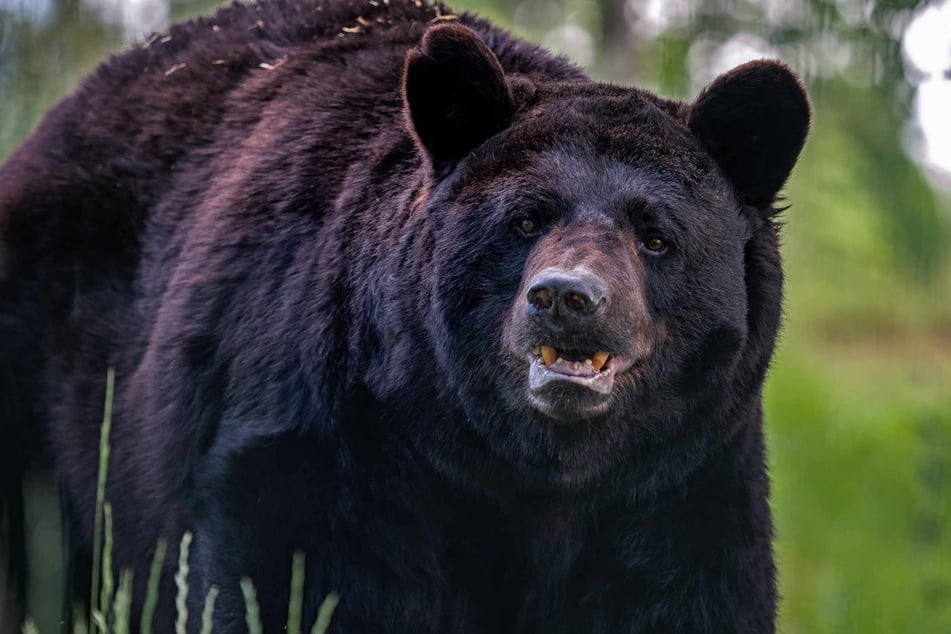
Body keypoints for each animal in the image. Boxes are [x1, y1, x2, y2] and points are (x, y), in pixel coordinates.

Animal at [0, 0, 810, 631]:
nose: (565, 298)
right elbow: (291, 584)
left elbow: (685, 593)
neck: (529, 472)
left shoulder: (680, 482)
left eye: (656, 235)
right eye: (525, 218)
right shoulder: (331, 440)